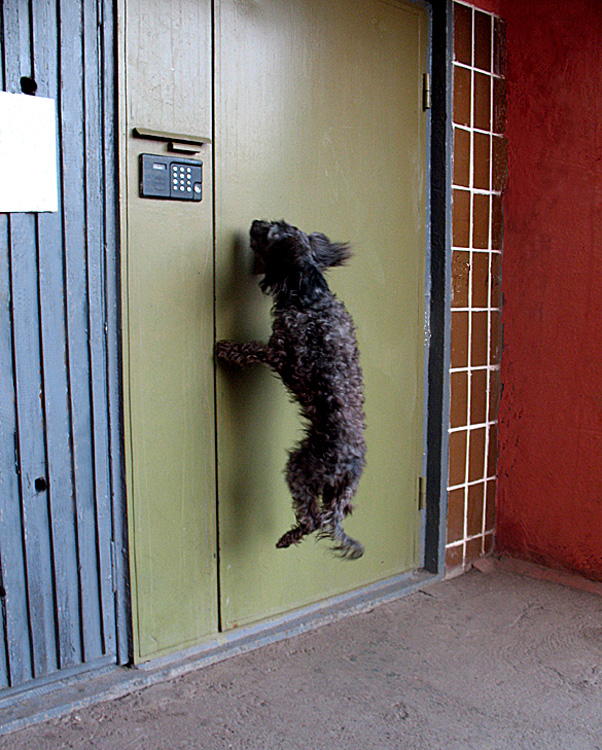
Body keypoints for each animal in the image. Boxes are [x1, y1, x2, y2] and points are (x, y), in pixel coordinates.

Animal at [216, 220, 366, 560]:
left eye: (270, 233)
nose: (254, 222)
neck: (311, 296)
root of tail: (350, 467)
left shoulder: (281, 353)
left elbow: (251, 350)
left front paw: (227, 350)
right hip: (332, 491)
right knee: (330, 513)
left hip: (299, 467)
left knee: (312, 519)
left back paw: (287, 537)